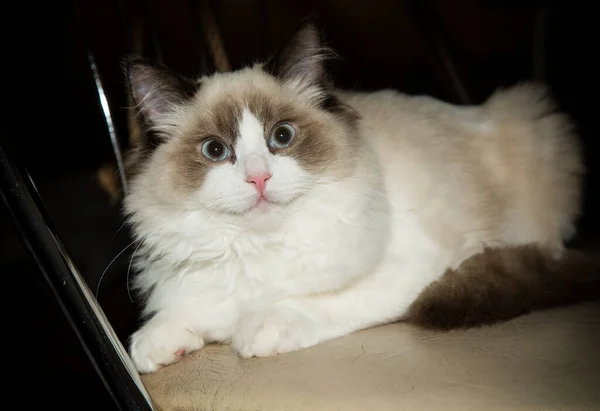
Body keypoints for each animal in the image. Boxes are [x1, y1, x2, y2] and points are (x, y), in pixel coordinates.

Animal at [120, 23, 596, 376]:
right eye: (215, 151)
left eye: (282, 137)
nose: (259, 178)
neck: (256, 249)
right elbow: (175, 317)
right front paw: (153, 346)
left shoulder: (406, 271)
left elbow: (304, 303)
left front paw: (254, 331)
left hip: (533, 121)